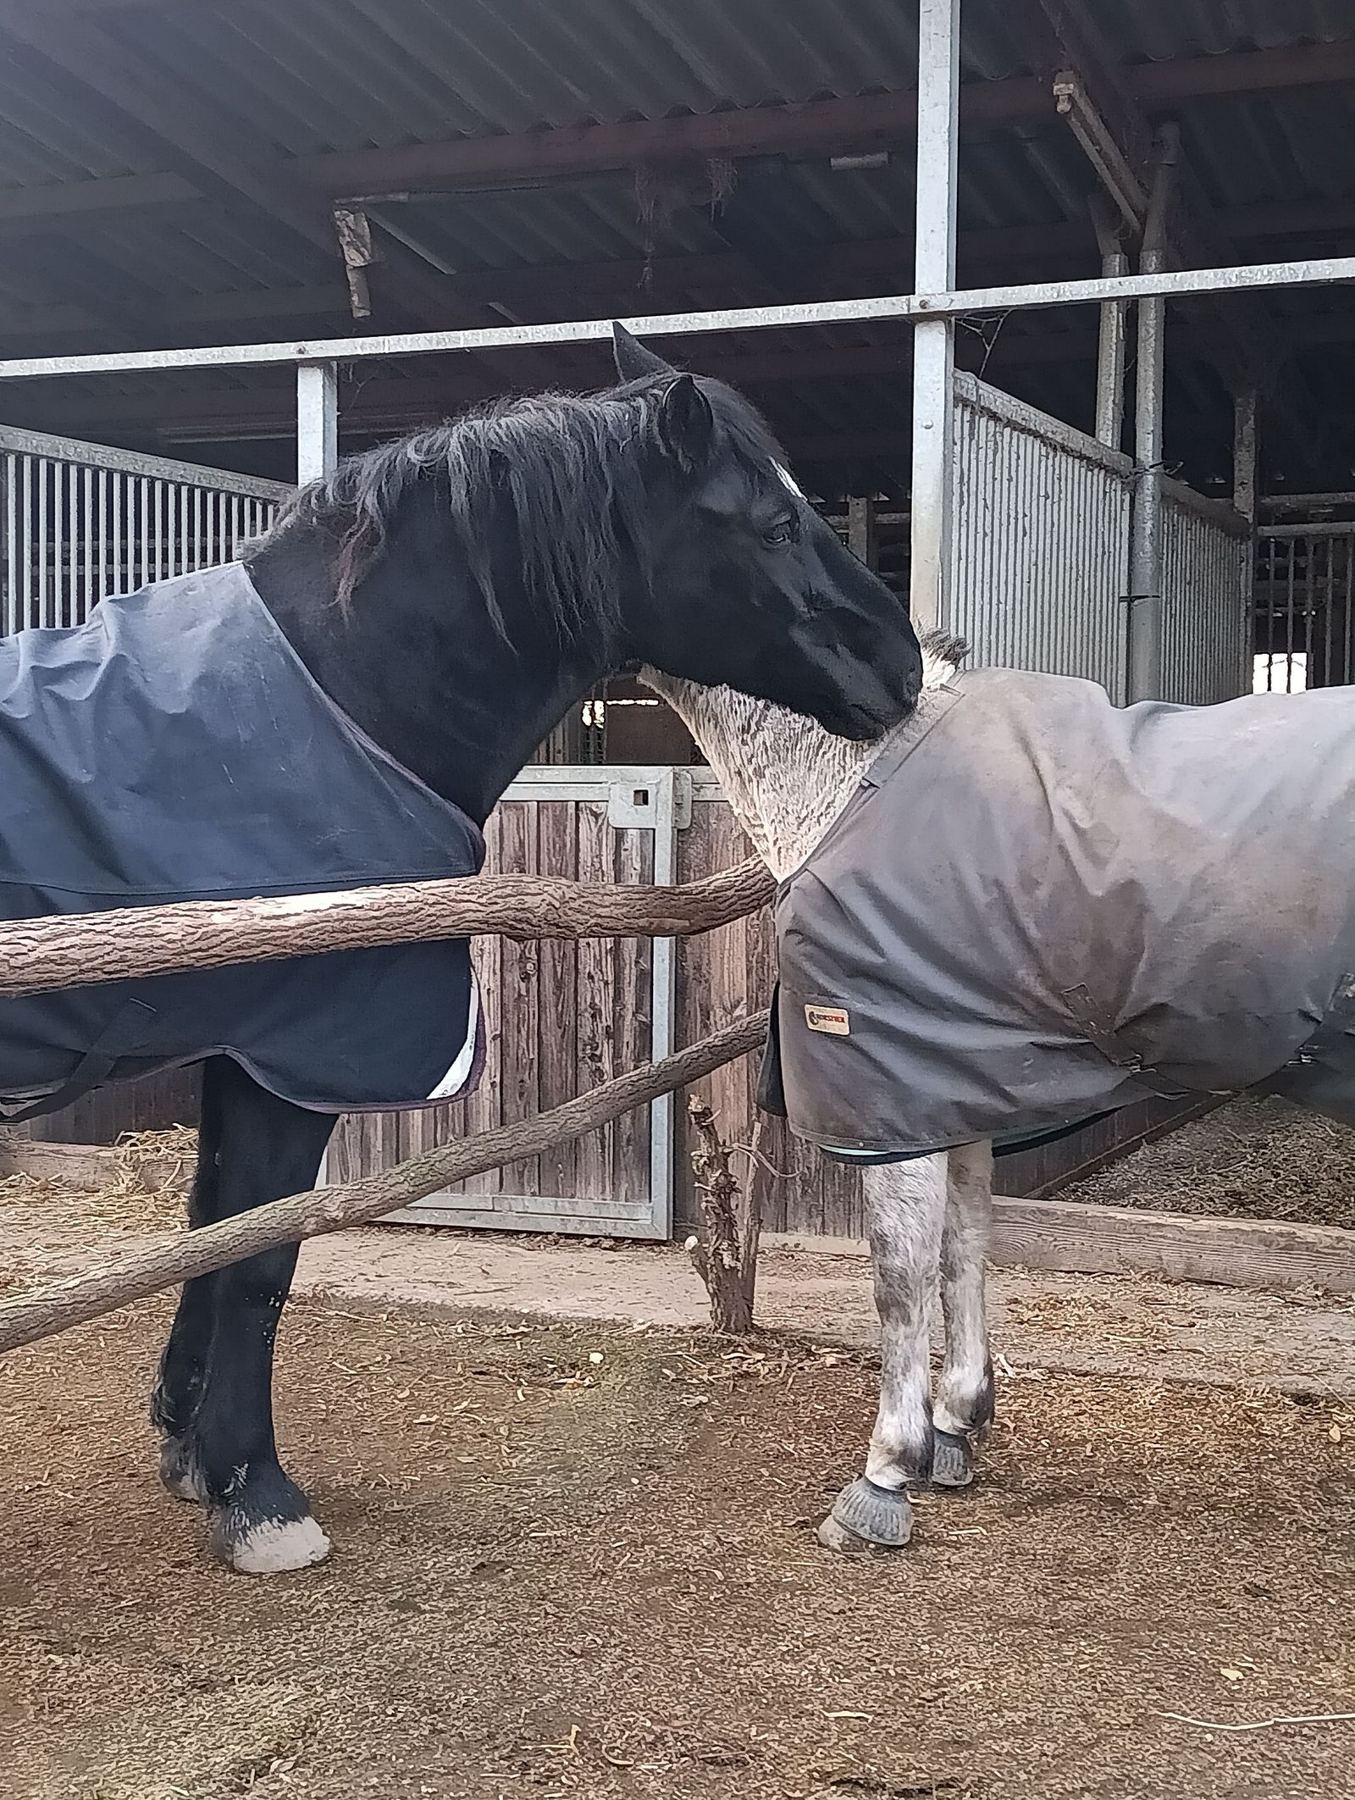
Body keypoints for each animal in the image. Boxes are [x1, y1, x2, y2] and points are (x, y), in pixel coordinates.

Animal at [0, 323, 923, 1573]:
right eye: (773, 523)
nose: (902, 665)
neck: (336, 703)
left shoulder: (246, 1053)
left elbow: (213, 1231)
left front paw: (193, 1455)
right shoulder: (303, 1058)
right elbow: (260, 1260)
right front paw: (261, 1497)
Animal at [642, 630, 989, 1555]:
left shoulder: (896, 1102)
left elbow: (898, 1278)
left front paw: (886, 1476)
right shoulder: (960, 1089)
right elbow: (962, 1249)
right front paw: (958, 1424)